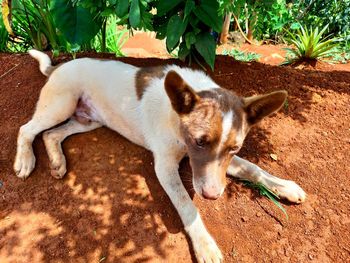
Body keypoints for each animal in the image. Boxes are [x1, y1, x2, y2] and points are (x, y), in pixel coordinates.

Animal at [13, 50, 304, 262]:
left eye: (235, 148)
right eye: (200, 141)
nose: (212, 195)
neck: (176, 120)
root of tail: (58, 68)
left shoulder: (217, 166)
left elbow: (253, 169)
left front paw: (284, 186)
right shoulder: (165, 167)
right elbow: (188, 206)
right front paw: (205, 245)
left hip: (89, 120)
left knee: (51, 135)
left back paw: (57, 161)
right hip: (61, 105)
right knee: (27, 129)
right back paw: (25, 161)